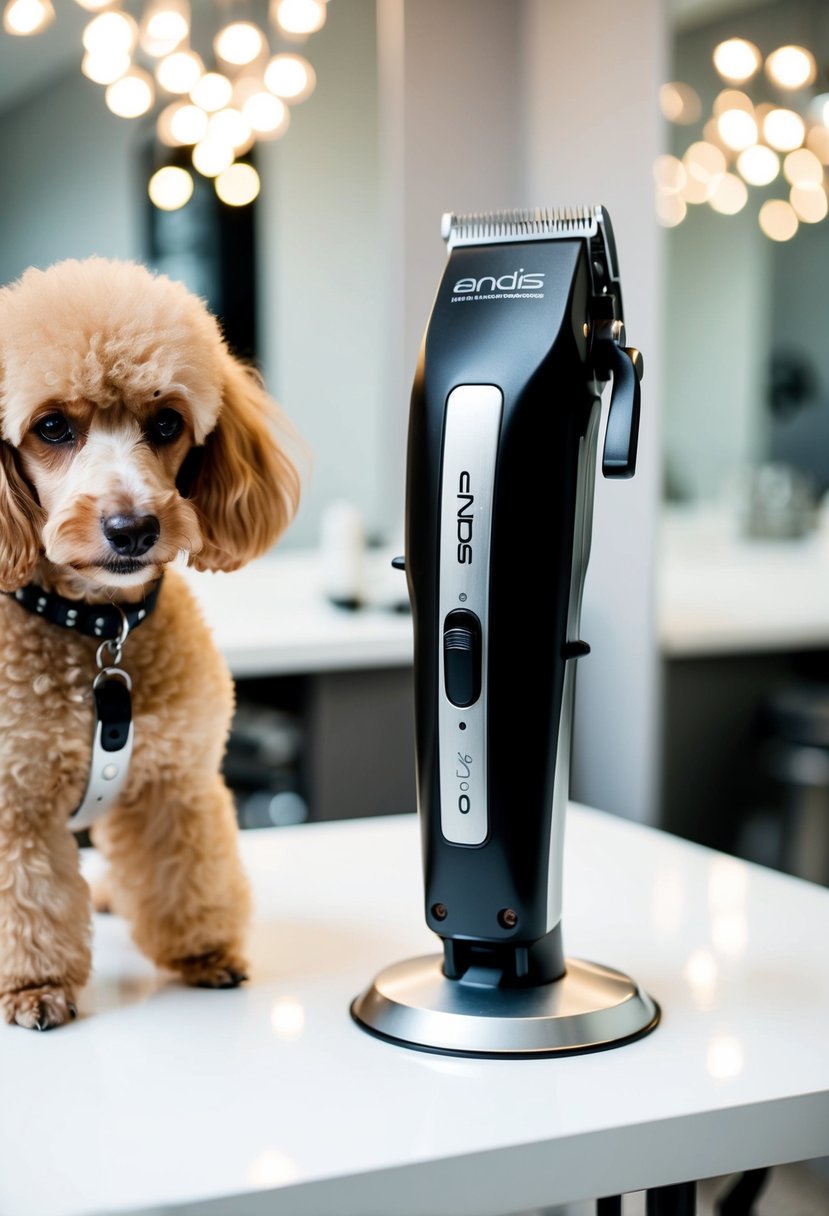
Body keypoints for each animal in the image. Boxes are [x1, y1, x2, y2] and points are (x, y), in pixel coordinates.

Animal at [0, 254, 300, 1026]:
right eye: (51, 427)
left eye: (166, 422)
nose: (133, 527)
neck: (99, 631)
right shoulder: (14, 804)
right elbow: (27, 898)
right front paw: (36, 985)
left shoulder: (176, 782)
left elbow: (186, 873)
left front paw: (203, 951)